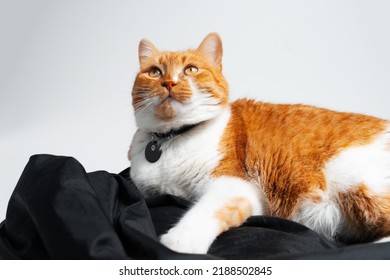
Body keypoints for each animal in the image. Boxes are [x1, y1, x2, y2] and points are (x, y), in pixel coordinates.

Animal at [128, 32, 390, 254]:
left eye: (191, 69)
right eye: (154, 72)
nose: (169, 83)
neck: (172, 138)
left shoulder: (236, 186)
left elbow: (204, 211)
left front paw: (178, 242)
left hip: (353, 178)